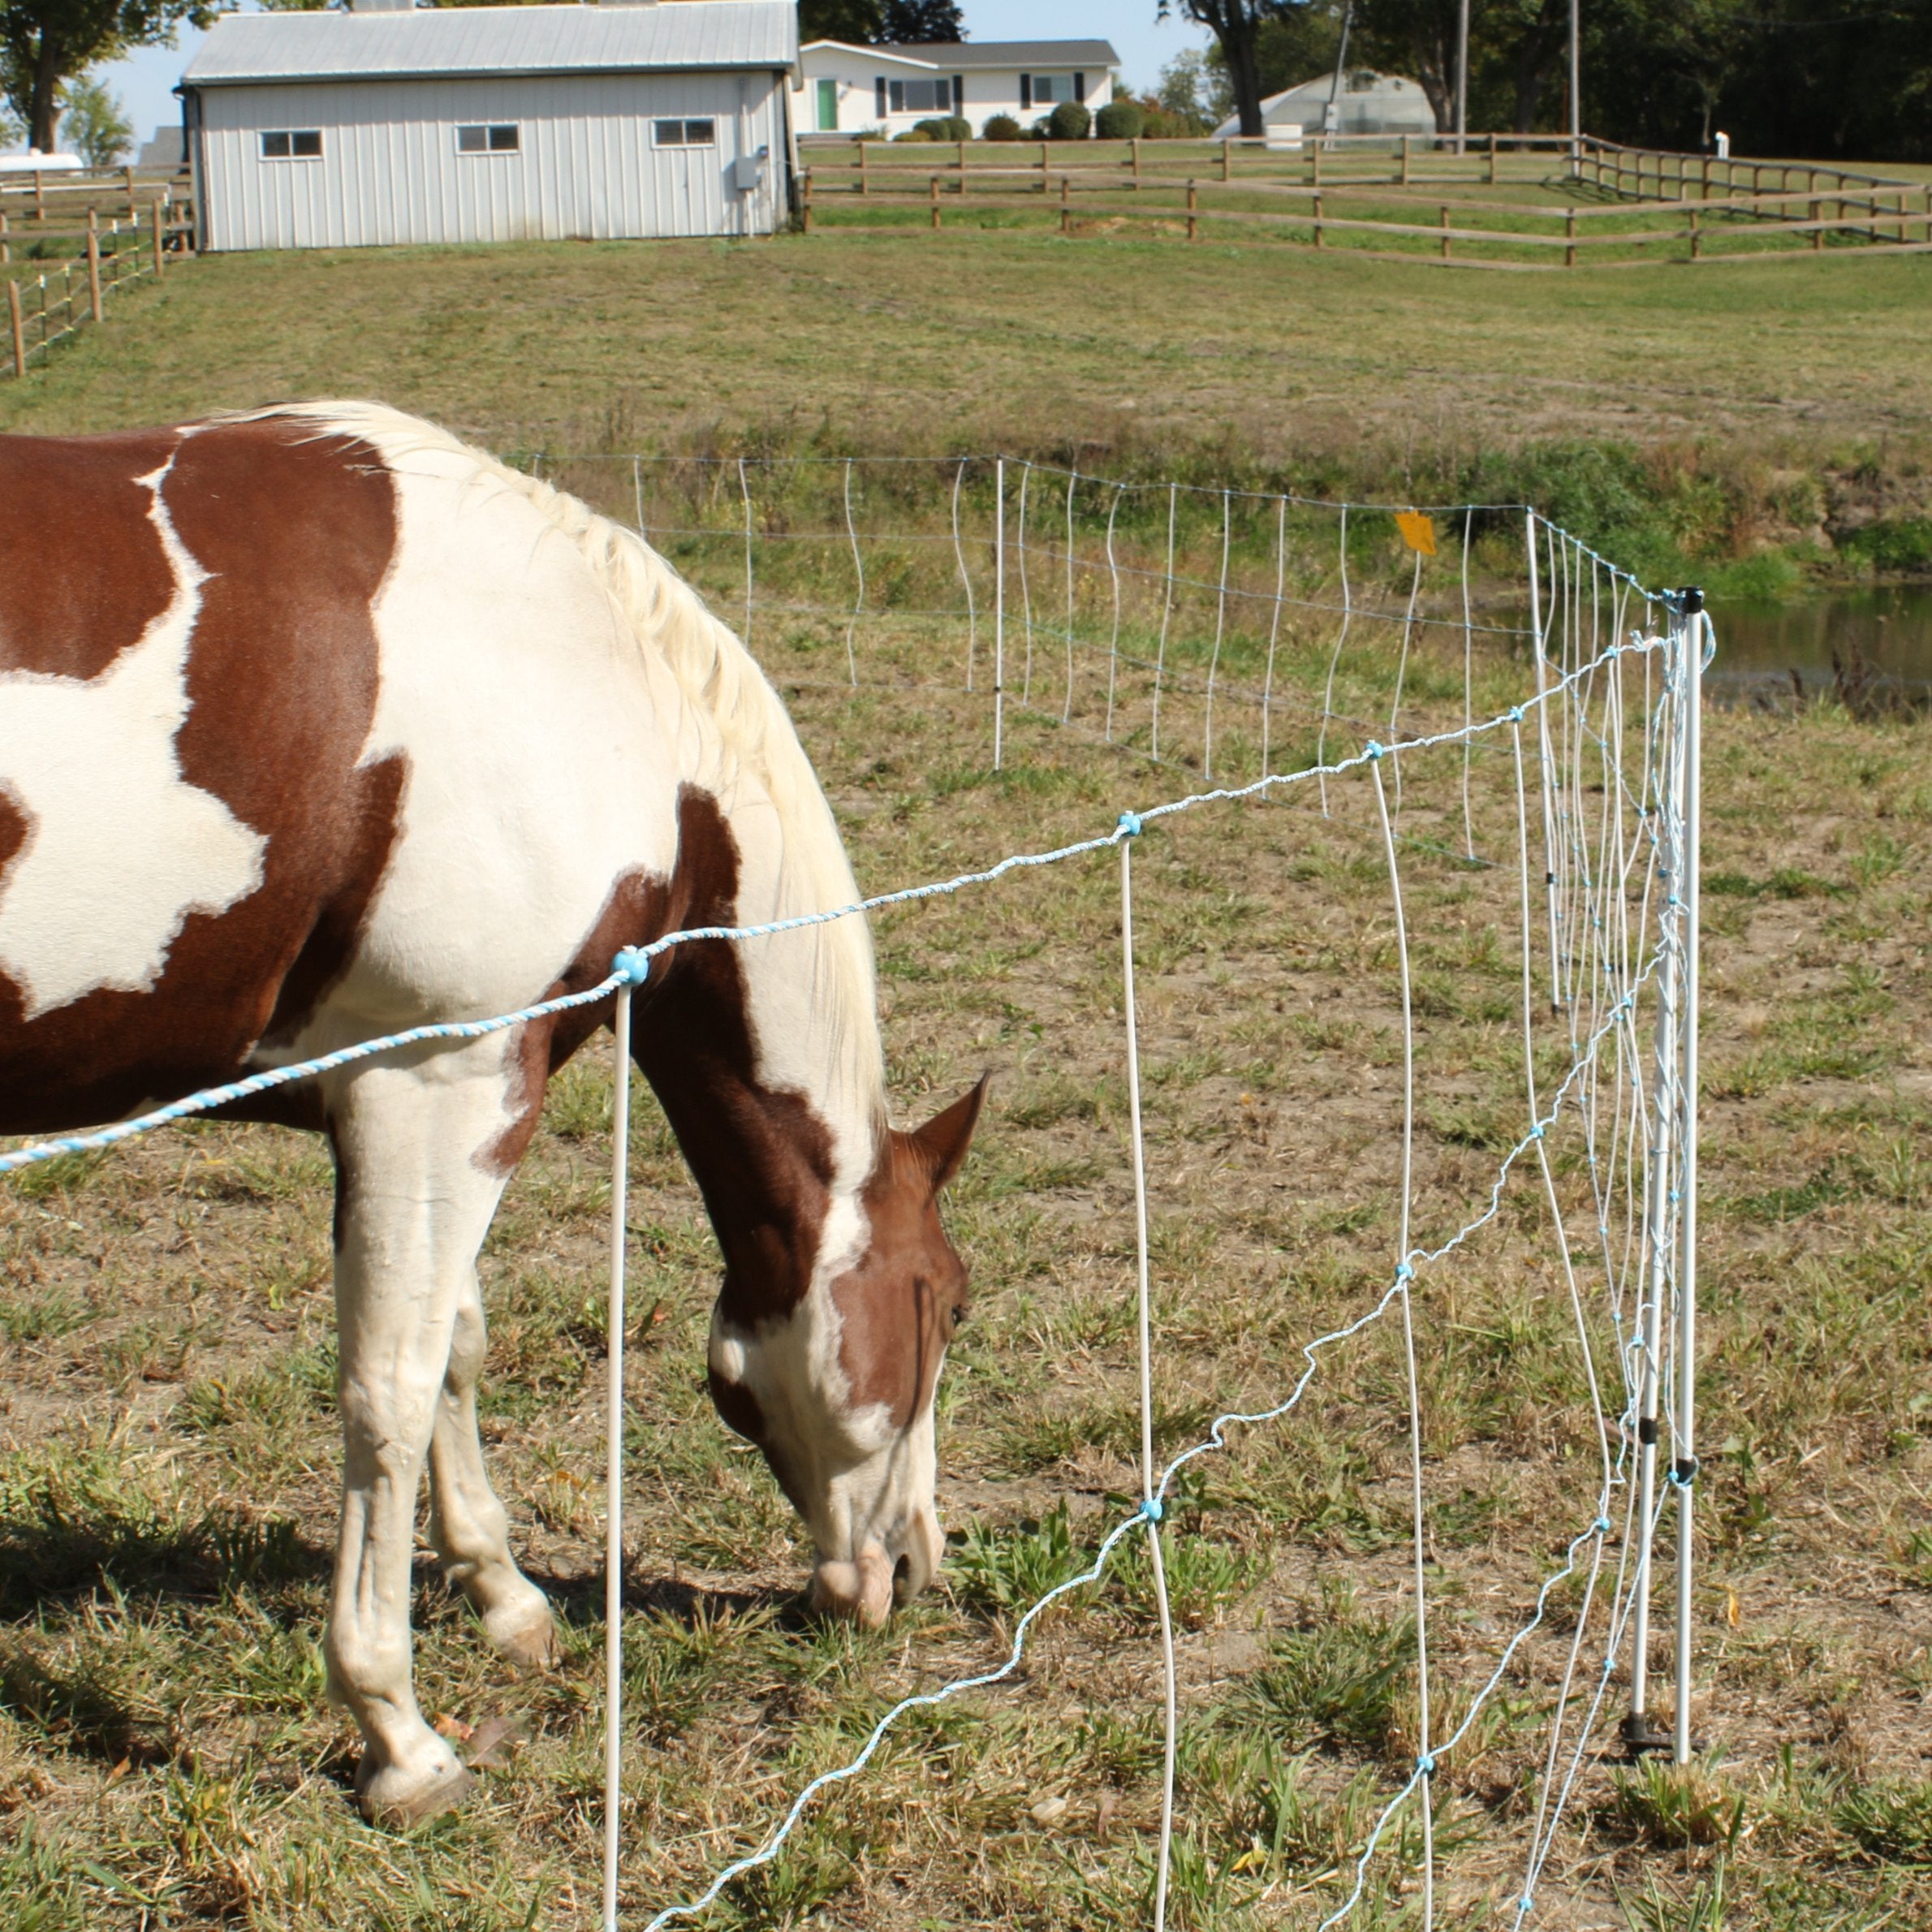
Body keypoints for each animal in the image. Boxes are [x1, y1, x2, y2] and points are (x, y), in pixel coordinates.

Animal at [0, 399, 989, 1816]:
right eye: (949, 1306)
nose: (911, 1568)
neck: (596, 683)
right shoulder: (444, 1080)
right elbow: (391, 1390)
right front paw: (398, 1733)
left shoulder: (420, 1097)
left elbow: (457, 1342)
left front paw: (505, 1596)